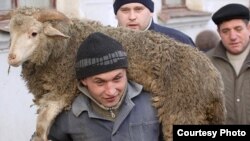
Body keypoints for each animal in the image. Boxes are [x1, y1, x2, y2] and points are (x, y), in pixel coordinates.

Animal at [4, 7, 227, 141]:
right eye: (11, 34)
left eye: (34, 33)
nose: (11, 57)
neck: (65, 44)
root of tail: (215, 80)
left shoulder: (64, 89)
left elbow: (42, 124)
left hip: (182, 111)